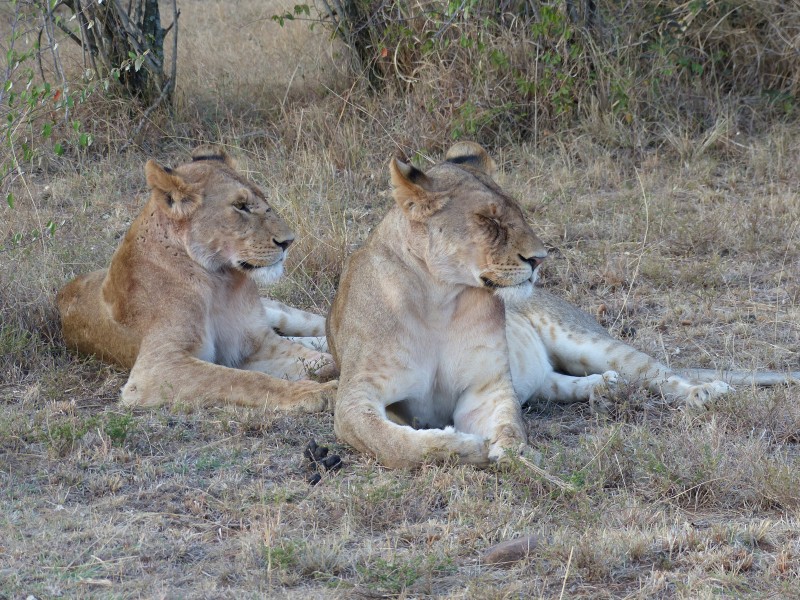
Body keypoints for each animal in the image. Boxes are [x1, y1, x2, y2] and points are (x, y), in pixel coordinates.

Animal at [57, 146, 336, 411]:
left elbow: (317, 360)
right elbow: (242, 379)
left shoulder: (256, 342)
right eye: (240, 206)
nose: (288, 242)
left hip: (276, 311)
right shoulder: (155, 368)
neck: (220, 282)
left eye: (263, 199)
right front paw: (316, 392)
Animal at [326, 142, 799, 468]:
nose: (539, 258)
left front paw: (511, 452)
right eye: (488, 220)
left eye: (517, 213)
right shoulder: (355, 395)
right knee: (555, 383)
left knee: (658, 373)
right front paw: (458, 446)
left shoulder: (485, 387)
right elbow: (390, 440)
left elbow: (508, 423)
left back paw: (703, 391)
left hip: (587, 341)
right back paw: (604, 387)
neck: (441, 299)